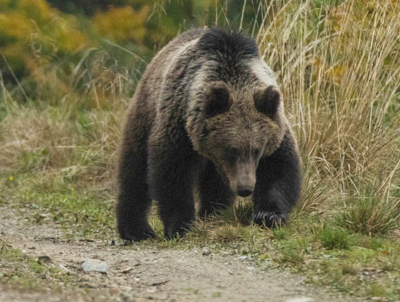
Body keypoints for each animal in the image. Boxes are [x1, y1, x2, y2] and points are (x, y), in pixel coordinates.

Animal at [115, 27, 300, 241]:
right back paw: (136, 230)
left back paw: (214, 213)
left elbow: (279, 168)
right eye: (231, 150)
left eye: (256, 150)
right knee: (134, 170)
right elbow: (172, 172)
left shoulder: (275, 127)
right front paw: (181, 225)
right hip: (145, 113)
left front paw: (268, 215)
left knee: (215, 184)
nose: (245, 188)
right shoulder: (179, 125)